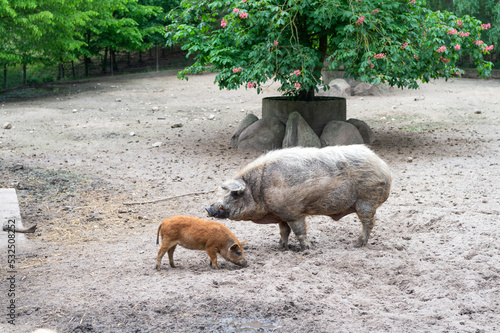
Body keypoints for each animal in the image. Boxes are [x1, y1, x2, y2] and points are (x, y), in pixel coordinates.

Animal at [206, 145, 390, 249]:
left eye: (234, 194)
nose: (208, 207)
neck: (258, 189)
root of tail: (384, 167)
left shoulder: (293, 212)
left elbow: (299, 231)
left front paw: (306, 249)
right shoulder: (280, 214)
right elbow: (284, 231)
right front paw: (281, 247)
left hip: (367, 200)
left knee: (368, 222)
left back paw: (357, 244)